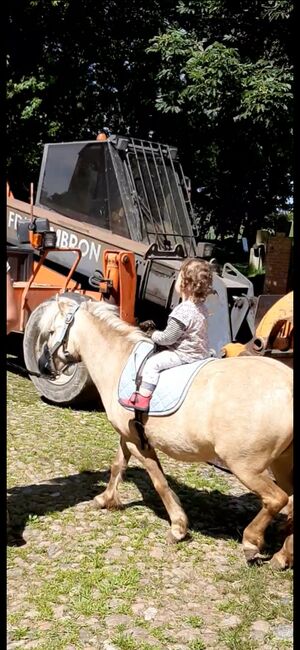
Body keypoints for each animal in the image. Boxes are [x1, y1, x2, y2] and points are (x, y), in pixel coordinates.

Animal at [37, 296, 292, 564]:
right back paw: (282, 557)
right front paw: (105, 499)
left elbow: (159, 482)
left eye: (52, 332)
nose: (42, 366)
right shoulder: (128, 436)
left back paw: (252, 541)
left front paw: (178, 527)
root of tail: (287, 383)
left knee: (277, 499)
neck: (119, 362)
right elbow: (118, 466)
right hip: (281, 463)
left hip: (245, 467)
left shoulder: (139, 443)